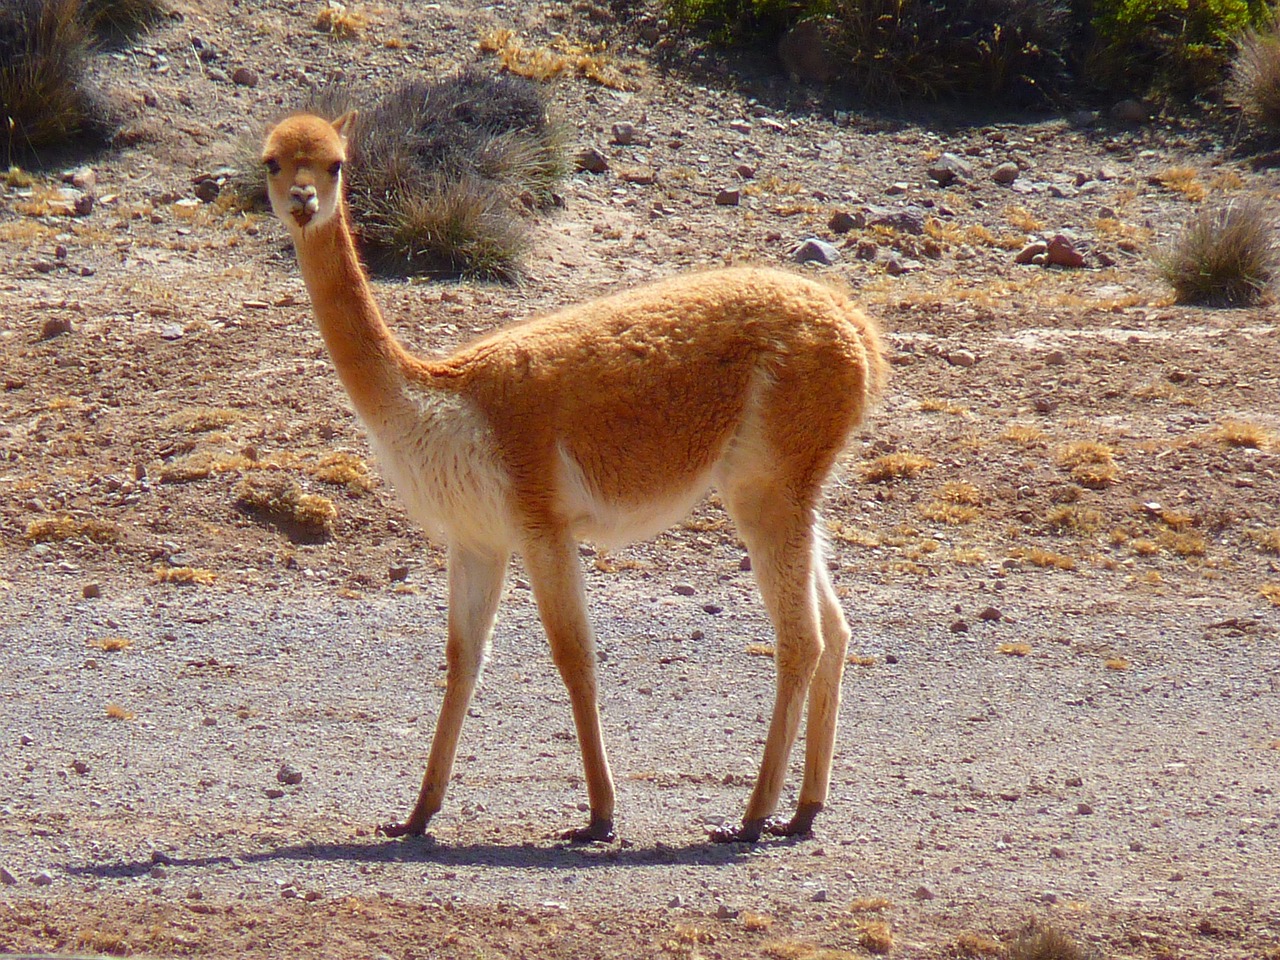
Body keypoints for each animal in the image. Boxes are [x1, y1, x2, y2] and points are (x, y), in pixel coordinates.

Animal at [260, 111, 886, 843]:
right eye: (273, 162)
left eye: (335, 163)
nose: (304, 202)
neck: (441, 401)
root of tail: (857, 330)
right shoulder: (477, 539)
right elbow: (462, 660)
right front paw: (416, 814)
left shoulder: (541, 521)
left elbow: (573, 657)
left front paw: (599, 815)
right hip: (790, 487)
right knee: (836, 632)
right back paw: (804, 809)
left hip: (767, 482)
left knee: (801, 639)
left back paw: (753, 815)